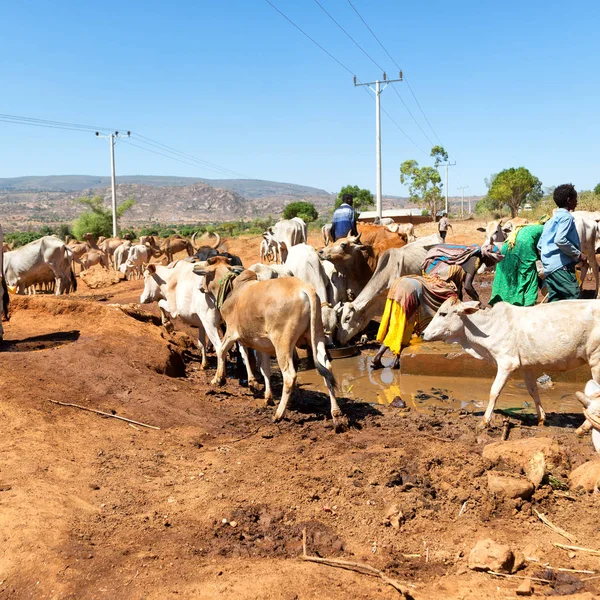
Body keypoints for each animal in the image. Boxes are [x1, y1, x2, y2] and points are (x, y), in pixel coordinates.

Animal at [192, 255, 342, 428]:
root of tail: (305, 289)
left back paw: (279, 414)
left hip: (283, 343)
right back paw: (336, 414)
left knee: (289, 376)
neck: (234, 290)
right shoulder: (262, 344)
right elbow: (265, 369)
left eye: (206, 269)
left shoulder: (232, 332)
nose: (200, 287)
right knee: (327, 369)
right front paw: (267, 397)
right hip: (317, 337)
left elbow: (221, 351)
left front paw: (218, 379)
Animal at [422, 298, 600, 426]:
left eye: (443, 313)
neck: (489, 327)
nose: (423, 333)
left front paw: (484, 421)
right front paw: (541, 418)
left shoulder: (506, 363)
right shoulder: (526, 366)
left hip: (596, 360)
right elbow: (533, 390)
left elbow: (494, 391)